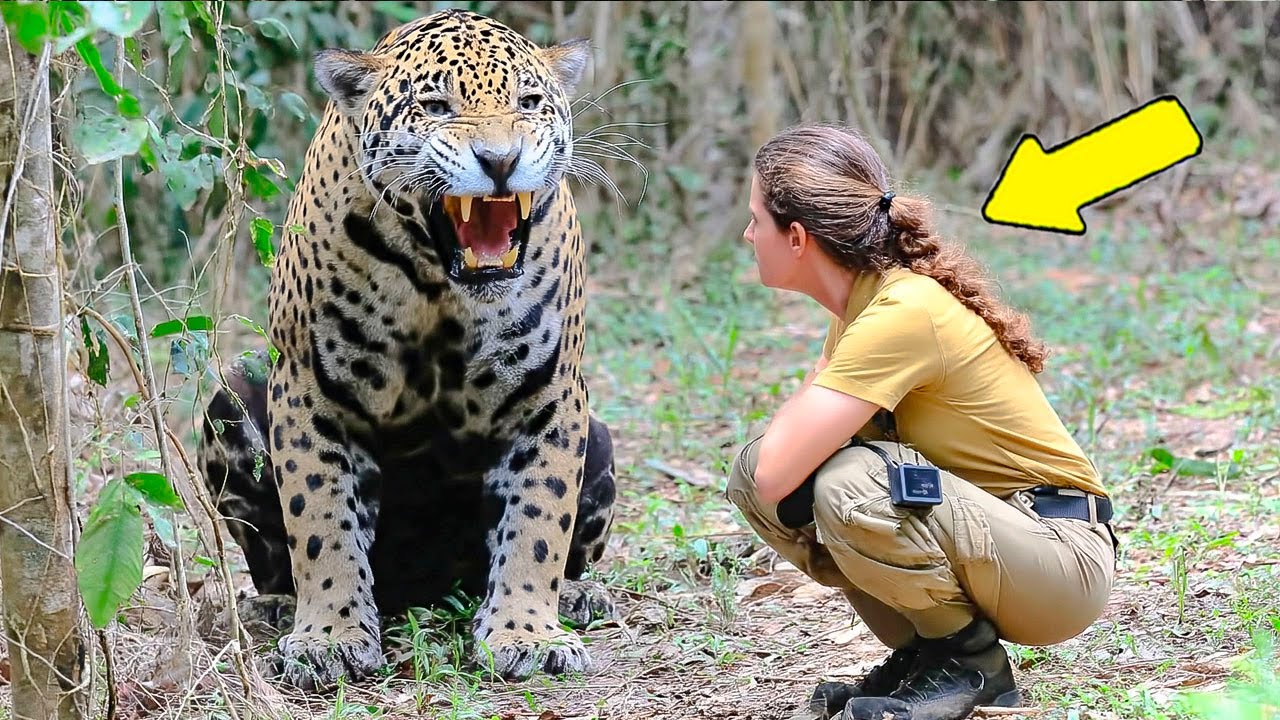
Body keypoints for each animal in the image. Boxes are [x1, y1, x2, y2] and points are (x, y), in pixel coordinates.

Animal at [196, 9, 620, 691]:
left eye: (528, 103)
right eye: (437, 106)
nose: (500, 161)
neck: (436, 281)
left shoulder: (551, 393)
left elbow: (538, 521)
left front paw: (527, 634)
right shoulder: (310, 391)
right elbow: (319, 522)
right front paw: (329, 637)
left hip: (600, 436)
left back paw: (580, 596)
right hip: (231, 398)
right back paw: (276, 607)